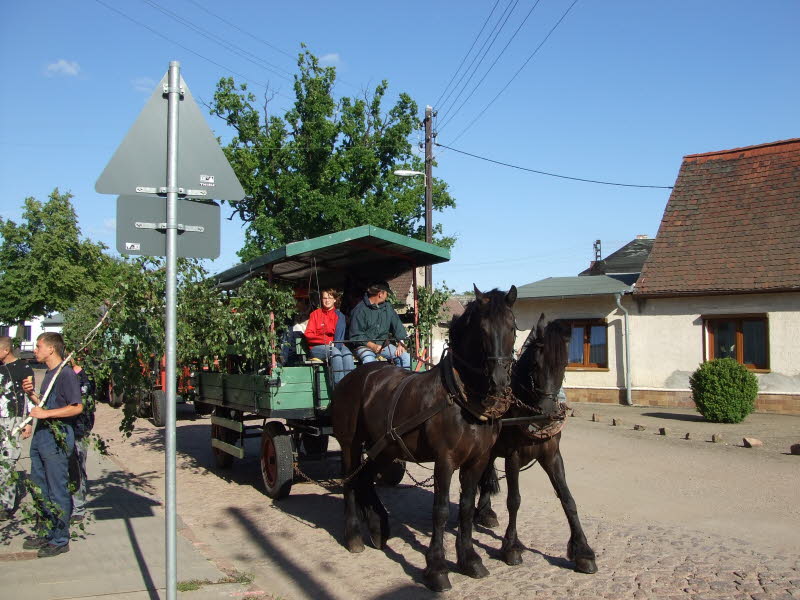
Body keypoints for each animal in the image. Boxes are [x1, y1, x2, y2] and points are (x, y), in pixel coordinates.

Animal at [332, 286, 520, 592]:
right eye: (482, 329)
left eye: (512, 327)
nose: (500, 382)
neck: (460, 397)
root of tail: (352, 377)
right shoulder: (445, 461)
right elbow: (440, 511)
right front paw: (437, 568)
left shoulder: (477, 461)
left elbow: (466, 507)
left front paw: (469, 560)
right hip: (350, 443)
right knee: (350, 481)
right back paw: (353, 536)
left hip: (384, 448)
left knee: (365, 478)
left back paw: (378, 526)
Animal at [472, 314, 596, 572]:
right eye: (536, 366)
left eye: (563, 365)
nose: (546, 414)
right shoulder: (513, 457)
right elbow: (514, 500)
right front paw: (511, 546)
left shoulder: (552, 456)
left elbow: (568, 498)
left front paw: (583, 551)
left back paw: (485, 512)